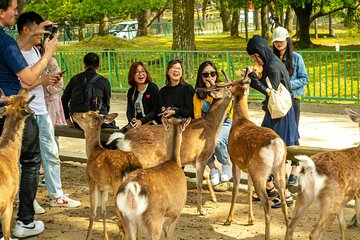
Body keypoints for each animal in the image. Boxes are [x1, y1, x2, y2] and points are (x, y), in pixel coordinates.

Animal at [71, 111, 142, 240]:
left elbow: (93, 213)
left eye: (83, 116)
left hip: (119, 190)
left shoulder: (92, 181)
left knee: (125, 226)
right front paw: (105, 237)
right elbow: (103, 211)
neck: (92, 151)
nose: (73, 113)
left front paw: (88, 237)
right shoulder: (104, 188)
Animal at [105, 80, 238, 214]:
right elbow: (199, 181)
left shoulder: (193, 159)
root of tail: (123, 138)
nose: (236, 91)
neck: (211, 128)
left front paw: (214, 198)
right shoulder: (202, 155)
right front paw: (201, 210)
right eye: (228, 89)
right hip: (142, 160)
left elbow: (206, 175)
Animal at [222, 70, 290, 240]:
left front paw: (228, 219)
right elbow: (248, 189)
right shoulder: (247, 167)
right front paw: (250, 219)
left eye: (232, 86)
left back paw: (267, 235)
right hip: (278, 169)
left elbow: (236, 188)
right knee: (284, 203)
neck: (240, 121)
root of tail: (275, 144)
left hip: (260, 170)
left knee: (266, 203)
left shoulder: (235, 161)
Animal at [284, 107, 360, 240]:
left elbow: (342, 224)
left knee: (290, 227)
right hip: (331, 198)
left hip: (304, 194)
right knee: (314, 233)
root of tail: (311, 168)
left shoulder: (344, 200)